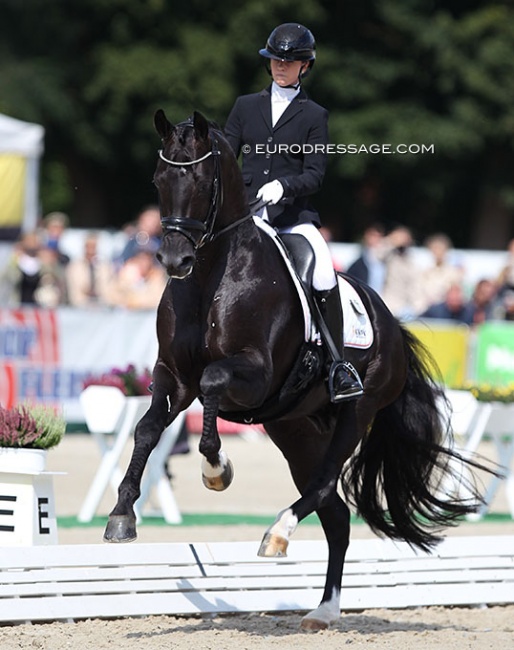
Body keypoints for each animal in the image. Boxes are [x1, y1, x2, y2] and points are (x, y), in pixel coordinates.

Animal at [103, 110, 484, 628]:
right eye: (159, 179)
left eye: (201, 182)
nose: (174, 260)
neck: (209, 277)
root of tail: (388, 319)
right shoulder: (173, 377)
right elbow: (146, 428)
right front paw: (122, 513)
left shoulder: (254, 374)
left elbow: (213, 382)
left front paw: (217, 470)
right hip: (296, 429)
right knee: (335, 514)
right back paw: (322, 609)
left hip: (356, 413)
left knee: (323, 487)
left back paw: (278, 534)